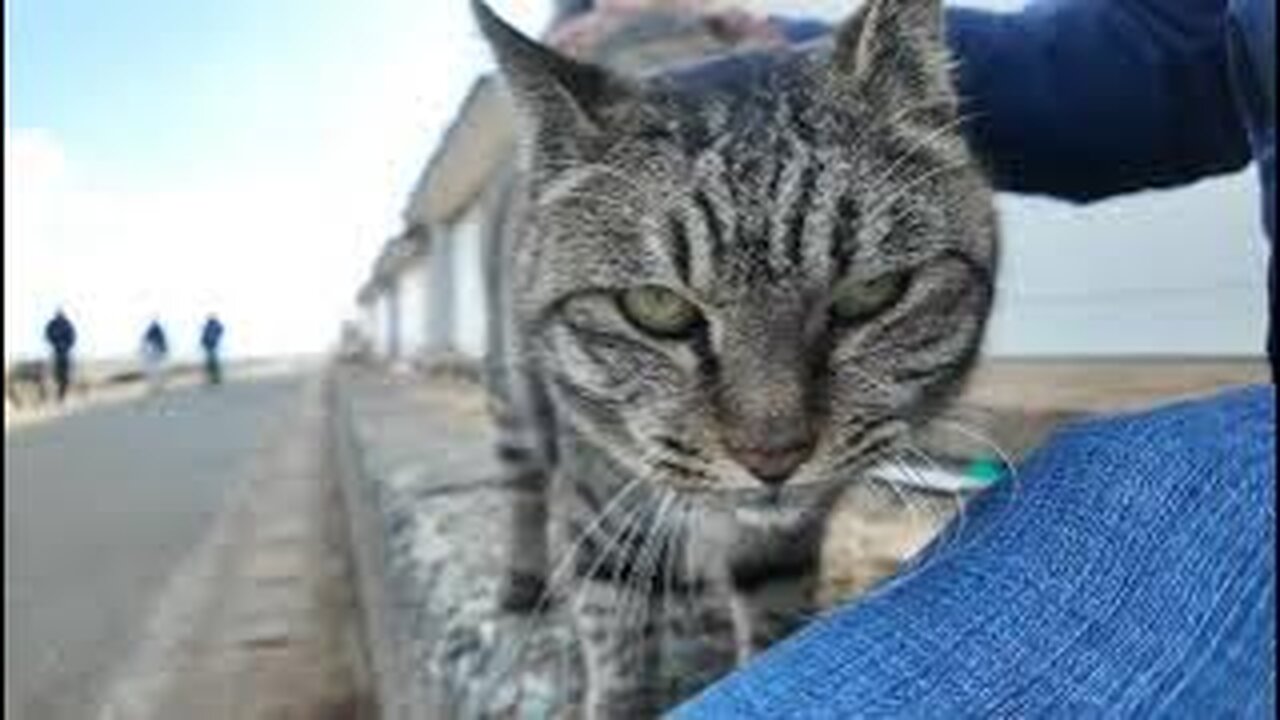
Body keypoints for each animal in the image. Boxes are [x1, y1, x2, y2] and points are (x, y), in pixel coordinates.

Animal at [473, 0, 998, 712]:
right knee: (524, 487)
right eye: (655, 306)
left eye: (871, 293)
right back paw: (523, 585)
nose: (772, 456)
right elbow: (616, 637)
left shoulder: (787, 540)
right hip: (515, 404)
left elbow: (773, 610)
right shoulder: (601, 504)